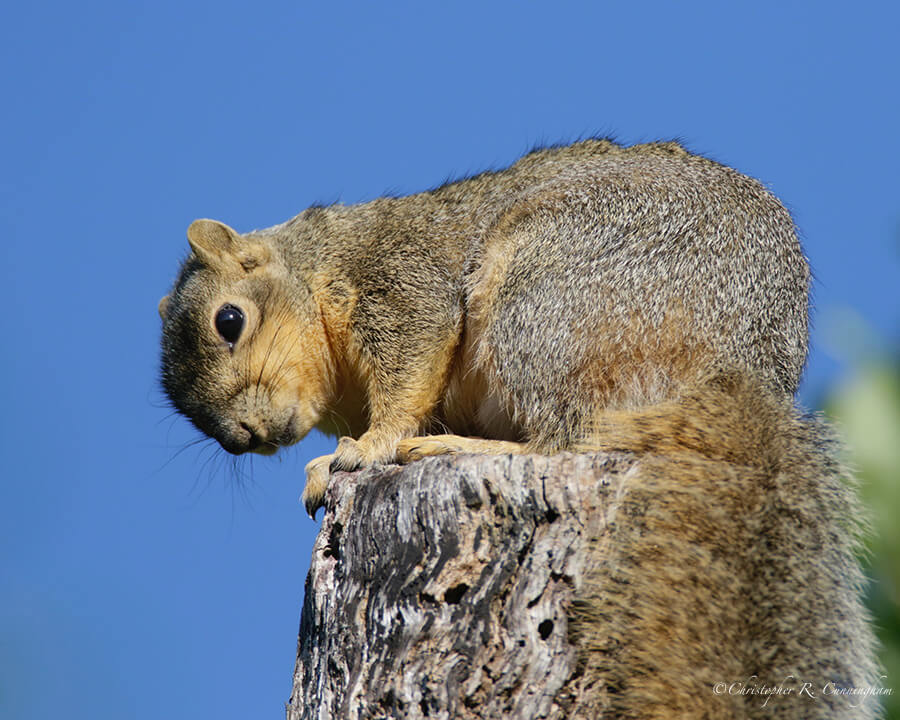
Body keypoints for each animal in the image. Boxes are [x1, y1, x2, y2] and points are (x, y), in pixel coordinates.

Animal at [160, 138, 880, 716]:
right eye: (184, 409)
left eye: (230, 320)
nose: (242, 436)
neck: (320, 267)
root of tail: (738, 369)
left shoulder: (400, 282)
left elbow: (409, 365)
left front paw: (366, 448)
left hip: (544, 297)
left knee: (561, 437)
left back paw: (452, 442)